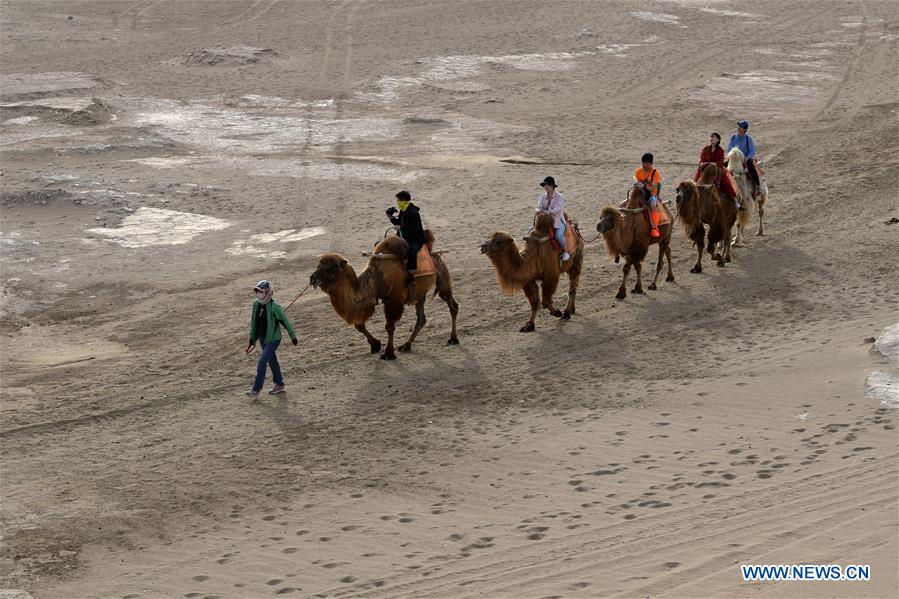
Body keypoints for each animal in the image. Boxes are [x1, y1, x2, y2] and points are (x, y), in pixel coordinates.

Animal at [312, 231, 464, 360]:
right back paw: (406, 346)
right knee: (421, 318)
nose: (312, 278)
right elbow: (359, 325)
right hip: (420, 293)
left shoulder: (394, 300)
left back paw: (453, 339)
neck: (376, 278)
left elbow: (389, 326)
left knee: (451, 304)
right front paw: (375, 345)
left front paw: (388, 353)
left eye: (331, 267)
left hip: (442, 274)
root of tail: (433, 251)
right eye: (318, 265)